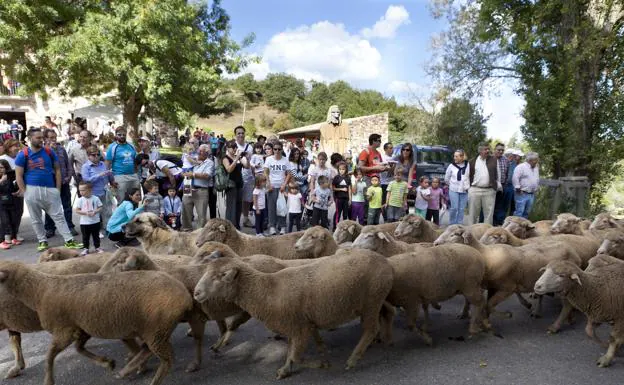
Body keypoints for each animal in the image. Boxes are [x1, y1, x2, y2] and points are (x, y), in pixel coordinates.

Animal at [0, 260, 193, 382]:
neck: (39, 291)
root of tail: (185, 295)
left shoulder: (64, 331)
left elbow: (49, 356)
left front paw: (48, 381)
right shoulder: (82, 328)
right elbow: (78, 349)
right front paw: (108, 363)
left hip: (156, 329)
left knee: (167, 359)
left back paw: (149, 377)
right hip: (153, 329)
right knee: (147, 350)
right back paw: (127, 370)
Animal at [193, 250, 392, 380]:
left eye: (220, 275)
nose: (196, 293)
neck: (268, 290)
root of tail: (385, 261)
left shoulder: (300, 327)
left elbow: (295, 355)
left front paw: (322, 364)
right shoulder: (297, 325)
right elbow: (291, 351)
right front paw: (285, 370)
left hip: (371, 301)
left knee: (370, 329)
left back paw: (353, 359)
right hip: (376, 300)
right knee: (385, 315)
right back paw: (381, 340)